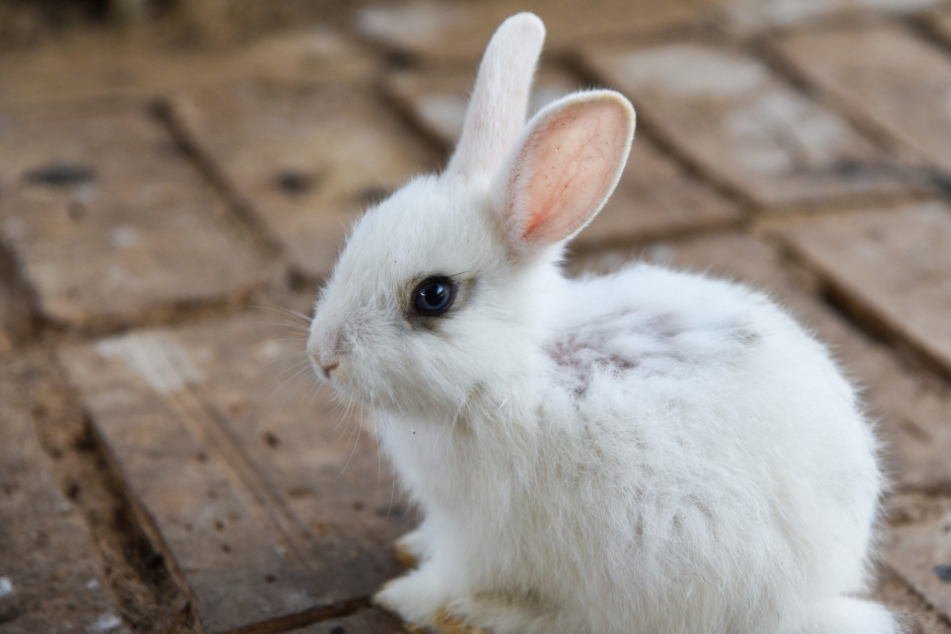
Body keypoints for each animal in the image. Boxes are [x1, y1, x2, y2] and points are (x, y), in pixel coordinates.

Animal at [305, 11, 898, 634]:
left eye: (434, 296)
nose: (323, 357)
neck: (510, 368)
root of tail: (816, 598)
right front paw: (412, 550)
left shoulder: (479, 534)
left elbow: (451, 574)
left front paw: (406, 598)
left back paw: (485, 613)